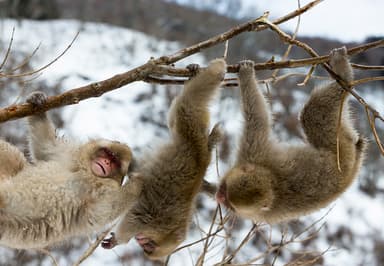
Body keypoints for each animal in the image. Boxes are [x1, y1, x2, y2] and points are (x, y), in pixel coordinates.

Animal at [0, 92, 140, 249]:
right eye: (107, 153)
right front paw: (37, 101)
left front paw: (140, 179)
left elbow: (102, 211)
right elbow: (45, 147)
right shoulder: (69, 154)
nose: (106, 162)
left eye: (115, 162)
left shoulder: (107, 188)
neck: (87, 171)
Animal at [102, 58, 226, 260]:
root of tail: (202, 152)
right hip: (188, 126)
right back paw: (217, 68)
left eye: (147, 246)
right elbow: (132, 220)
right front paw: (119, 240)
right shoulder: (153, 217)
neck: (172, 227)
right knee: (189, 101)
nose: (140, 242)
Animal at [216, 47, 366, 222]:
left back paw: (344, 76)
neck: (273, 186)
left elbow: (257, 117)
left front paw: (246, 75)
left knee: (313, 112)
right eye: (224, 191)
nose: (218, 197)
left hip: (341, 155)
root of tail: (347, 177)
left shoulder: (254, 151)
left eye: (228, 202)